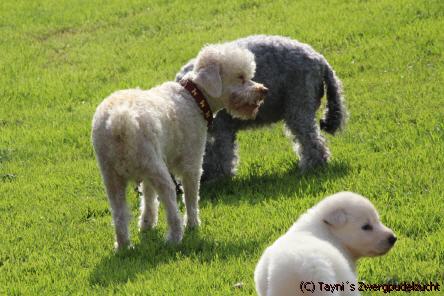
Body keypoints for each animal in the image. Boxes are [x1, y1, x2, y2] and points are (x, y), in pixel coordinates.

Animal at [91, 42, 268, 249]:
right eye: (240, 77)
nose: (264, 90)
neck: (194, 97)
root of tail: (119, 123)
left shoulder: (147, 173)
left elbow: (148, 197)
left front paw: (146, 224)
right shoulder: (191, 163)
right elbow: (191, 198)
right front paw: (193, 225)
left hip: (114, 177)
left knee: (119, 215)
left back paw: (123, 246)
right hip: (157, 171)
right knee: (171, 208)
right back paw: (175, 238)